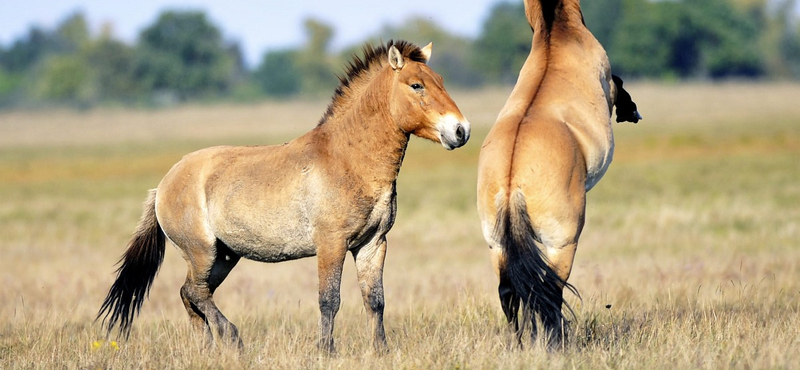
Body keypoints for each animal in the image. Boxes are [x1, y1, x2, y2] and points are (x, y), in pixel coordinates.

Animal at [99, 40, 472, 352]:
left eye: (440, 80)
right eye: (416, 85)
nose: (461, 130)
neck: (348, 160)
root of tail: (164, 184)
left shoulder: (373, 244)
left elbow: (375, 300)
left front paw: (381, 351)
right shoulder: (331, 244)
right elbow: (329, 300)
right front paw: (326, 351)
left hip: (224, 256)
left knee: (191, 296)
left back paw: (207, 349)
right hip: (200, 252)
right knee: (194, 292)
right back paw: (233, 339)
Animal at [478, 0, 640, 346]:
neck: (557, 34)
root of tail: (512, 183)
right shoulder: (607, 79)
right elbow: (617, 82)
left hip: (497, 247)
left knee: (509, 293)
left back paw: (520, 344)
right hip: (562, 244)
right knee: (550, 292)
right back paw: (556, 343)